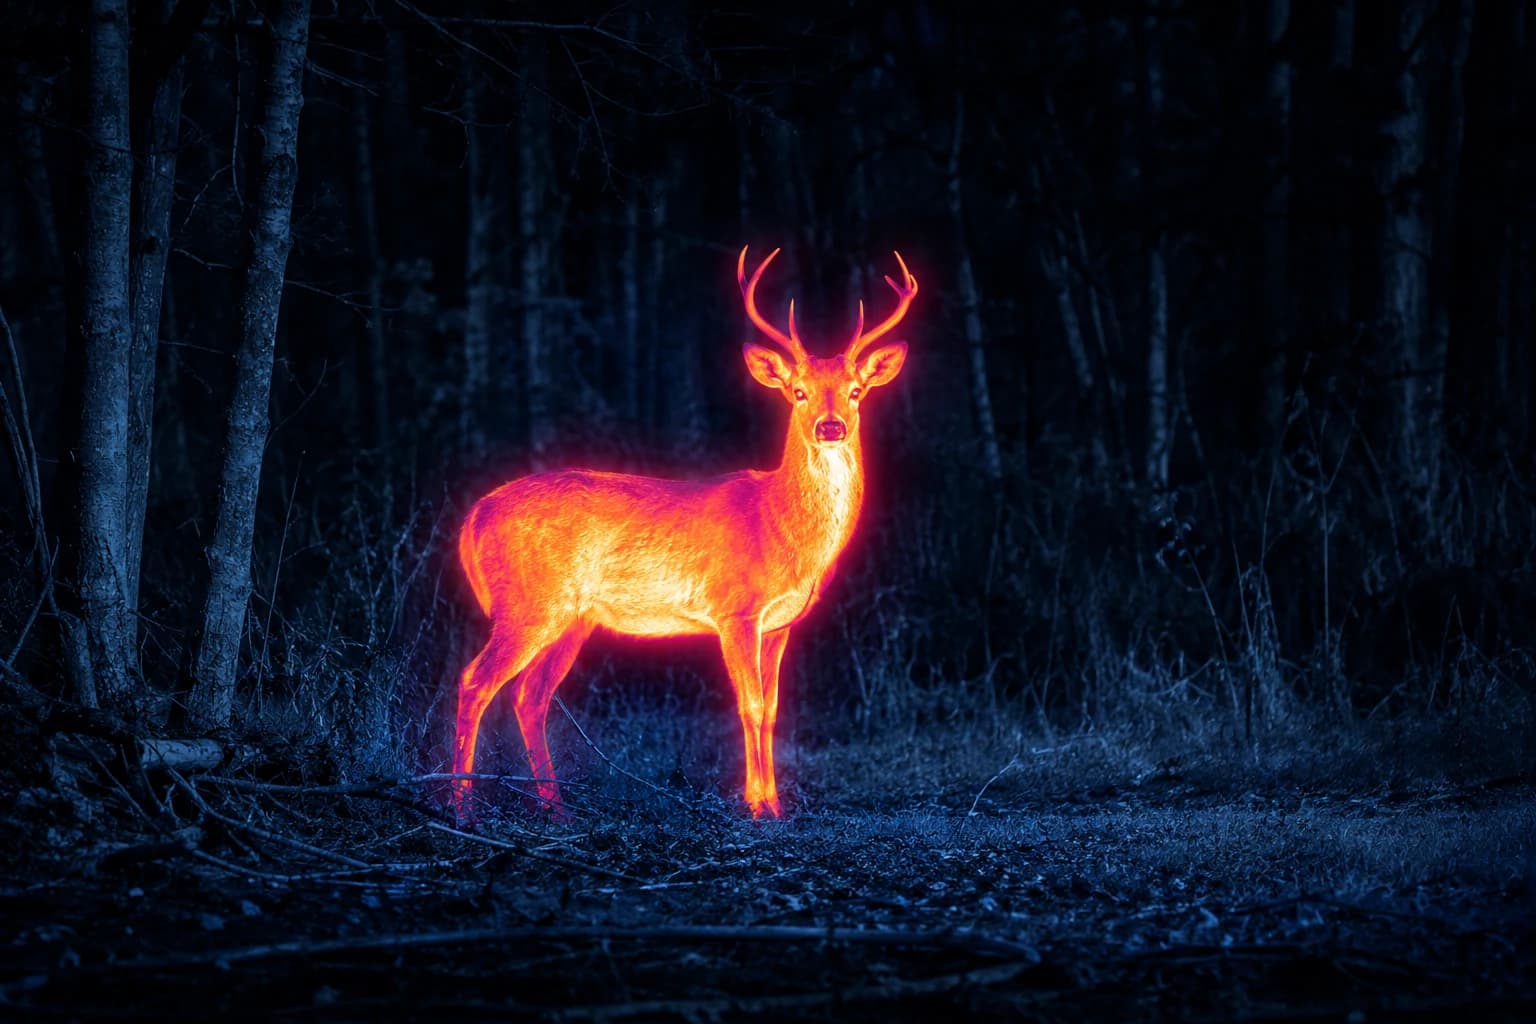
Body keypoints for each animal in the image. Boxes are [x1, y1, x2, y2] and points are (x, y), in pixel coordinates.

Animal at [452, 245, 916, 822]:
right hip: (528, 604)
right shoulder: (735, 610)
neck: (780, 526)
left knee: (528, 696)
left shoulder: (779, 624)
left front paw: (774, 804)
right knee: (474, 682)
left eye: (855, 391)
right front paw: (758, 807)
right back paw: (458, 806)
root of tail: (474, 516)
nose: (830, 427)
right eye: (798, 392)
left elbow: (772, 710)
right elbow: (750, 704)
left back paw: (556, 809)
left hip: (570, 618)